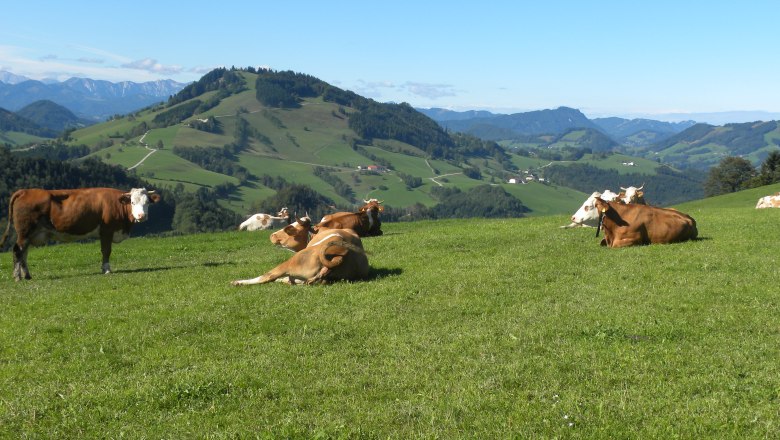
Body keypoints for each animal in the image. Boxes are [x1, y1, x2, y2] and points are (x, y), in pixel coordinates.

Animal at [0, 187, 161, 280]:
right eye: (132, 202)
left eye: (147, 202)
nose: (141, 216)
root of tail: (24, 191)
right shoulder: (107, 230)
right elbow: (106, 251)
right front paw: (107, 269)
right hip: (24, 232)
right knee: (17, 251)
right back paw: (17, 276)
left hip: (29, 234)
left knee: (24, 252)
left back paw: (27, 275)